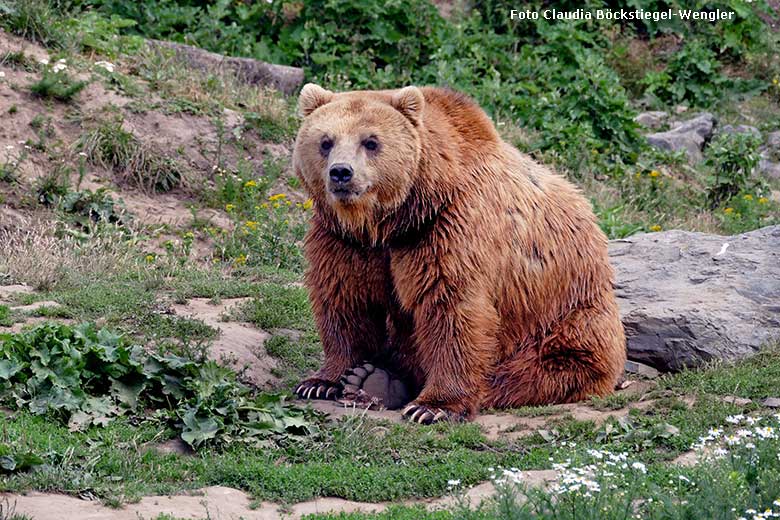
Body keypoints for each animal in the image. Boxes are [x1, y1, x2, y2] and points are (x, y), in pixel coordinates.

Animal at [292, 81, 628, 422]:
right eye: (325, 141)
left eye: (371, 142)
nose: (341, 173)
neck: (394, 220)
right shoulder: (345, 241)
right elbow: (345, 299)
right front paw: (325, 381)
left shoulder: (450, 226)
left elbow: (452, 307)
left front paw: (433, 406)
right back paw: (374, 381)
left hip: (563, 315)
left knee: (544, 368)